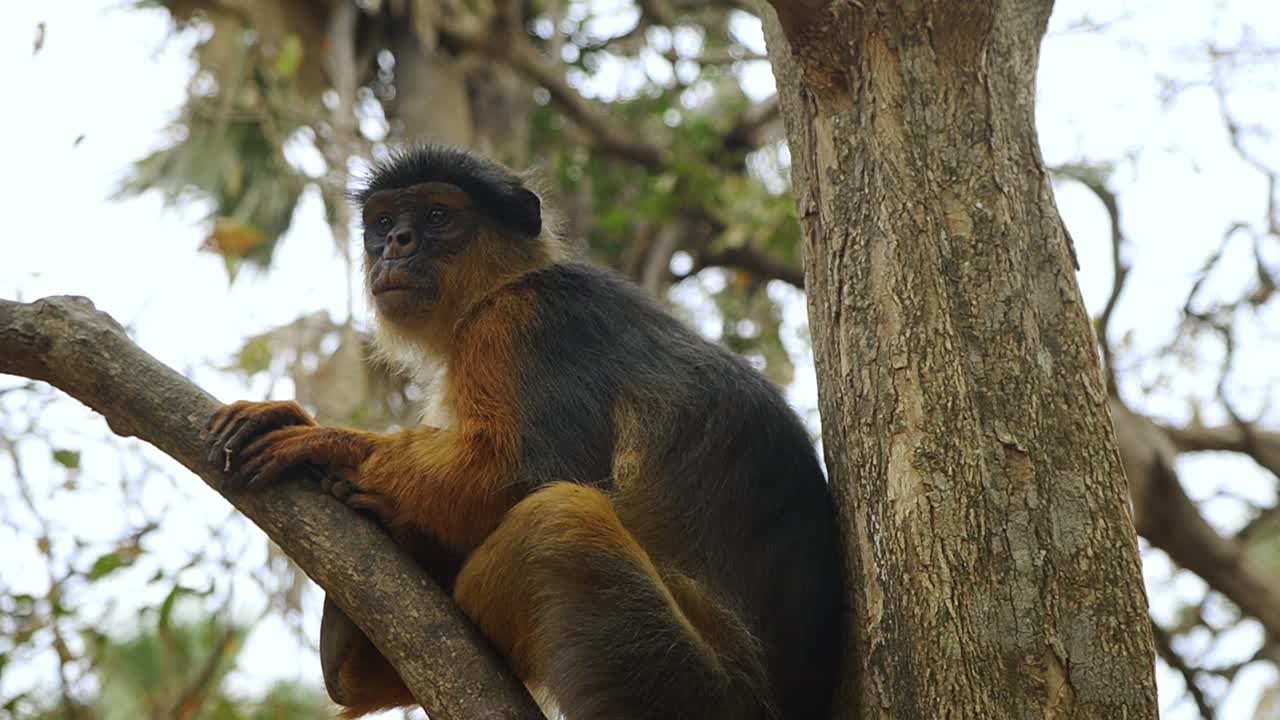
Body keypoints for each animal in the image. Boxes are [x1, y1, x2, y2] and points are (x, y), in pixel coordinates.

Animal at [205, 145, 843, 720]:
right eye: (383, 224)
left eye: (436, 217)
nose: (397, 244)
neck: (504, 281)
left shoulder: (521, 324)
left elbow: (526, 475)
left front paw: (326, 439)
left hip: (688, 691)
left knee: (556, 517)